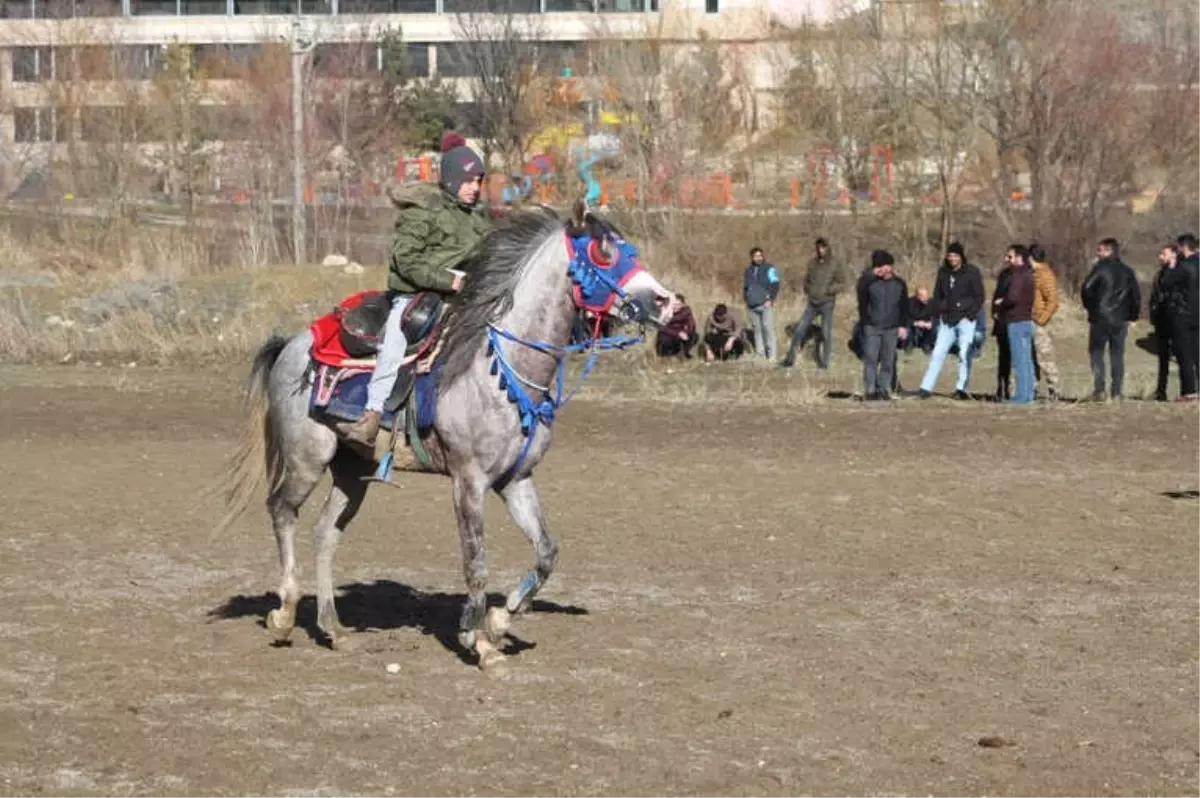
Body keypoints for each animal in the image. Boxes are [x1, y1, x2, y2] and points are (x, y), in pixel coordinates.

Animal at [218, 199, 676, 667]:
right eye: (603, 252)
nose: (666, 302)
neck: (499, 371)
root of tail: (290, 344)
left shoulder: (516, 480)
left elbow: (547, 553)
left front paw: (499, 621)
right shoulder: (468, 482)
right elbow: (476, 562)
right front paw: (480, 642)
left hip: (352, 470)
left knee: (325, 533)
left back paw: (335, 629)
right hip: (306, 458)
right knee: (281, 511)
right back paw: (285, 613)